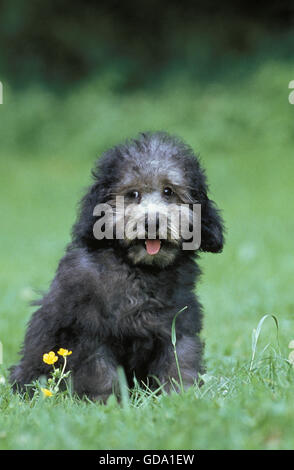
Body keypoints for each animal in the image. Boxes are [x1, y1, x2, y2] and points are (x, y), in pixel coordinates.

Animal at [9, 131, 225, 400]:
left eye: (168, 191)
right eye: (133, 194)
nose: (152, 222)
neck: (139, 270)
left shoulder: (179, 325)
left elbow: (179, 362)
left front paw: (180, 397)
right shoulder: (89, 332)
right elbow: (100, 372)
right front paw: (108, 402)